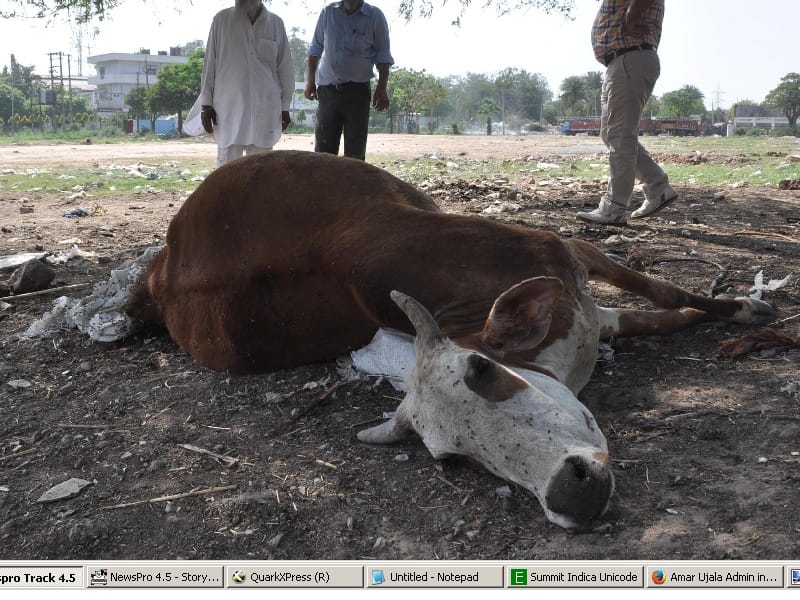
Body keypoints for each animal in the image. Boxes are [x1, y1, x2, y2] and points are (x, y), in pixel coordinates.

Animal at [125, 150, 774, 530]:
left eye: (482, 371)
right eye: (452, 459)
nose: (570, 495)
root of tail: (158, 282)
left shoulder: (567, 251)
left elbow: (664, 293)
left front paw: (747, 308)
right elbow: (661, 306)